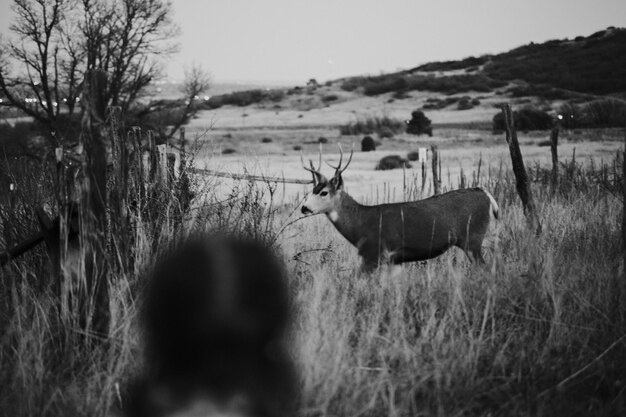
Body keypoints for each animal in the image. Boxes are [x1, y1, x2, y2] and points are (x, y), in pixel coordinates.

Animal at [300, 145, 500, 272]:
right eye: (311, 190)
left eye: (324, 192)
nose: (304, 208)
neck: (361, 224)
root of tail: (485, 194)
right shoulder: (394, 260)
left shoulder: (375, 253)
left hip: (473, 238)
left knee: (485, 269)